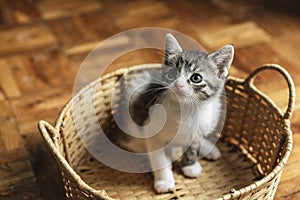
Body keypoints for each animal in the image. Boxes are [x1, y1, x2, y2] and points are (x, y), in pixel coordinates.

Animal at [113, 34, 233, 194]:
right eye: (172, 73)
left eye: (196, 78)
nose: (178, 84)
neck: (187, 109)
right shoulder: (150, 130)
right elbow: (159, 158)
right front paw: (164, 180)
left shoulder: (199, 127)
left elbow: (193, 146)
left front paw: (190, 165)